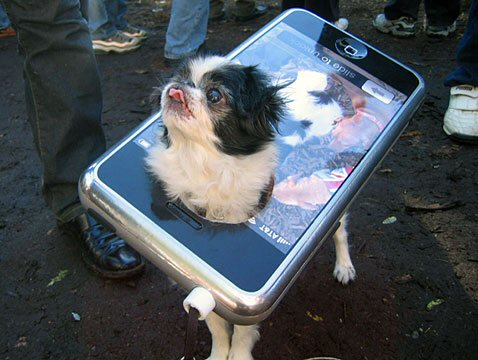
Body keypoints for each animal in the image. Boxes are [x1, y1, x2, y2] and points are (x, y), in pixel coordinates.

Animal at [146, 54, 354, 358]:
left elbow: (242, 332)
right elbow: (215, 325)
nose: (176, 88)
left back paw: (344, 266)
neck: (203, 164)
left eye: (214, 95)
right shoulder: (209, 284)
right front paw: (218, 353)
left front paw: (238, 355)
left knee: (340, 228)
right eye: (180, 77)